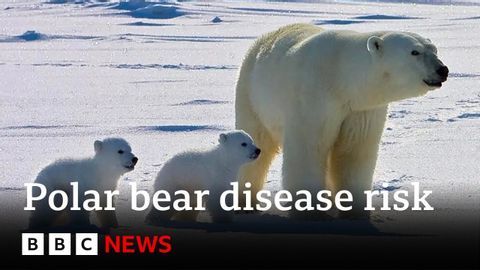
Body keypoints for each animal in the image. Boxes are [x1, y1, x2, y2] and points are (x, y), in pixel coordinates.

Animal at [236, 23, 450, 219]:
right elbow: (309, 150)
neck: (342, 78)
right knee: (256, 144)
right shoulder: (314, 99)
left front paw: (355, 213)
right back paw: (245, 204)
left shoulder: (361, 110)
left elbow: (353, 153)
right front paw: (310, 214)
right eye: (414, 52)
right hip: (252, 96)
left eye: (434, 49)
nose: (443, 69)